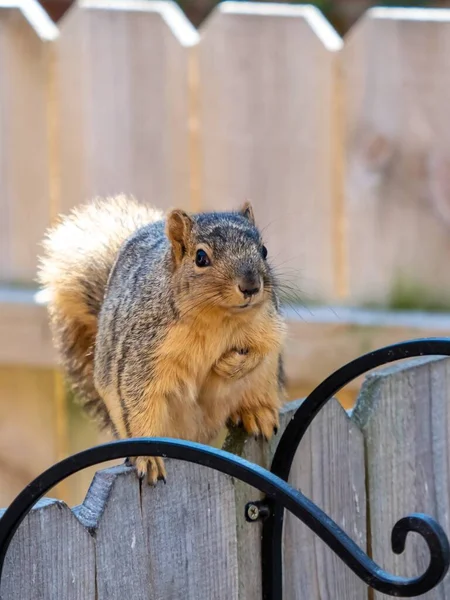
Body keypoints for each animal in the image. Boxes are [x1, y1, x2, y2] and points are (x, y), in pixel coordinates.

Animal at [37, 196, 284, 482]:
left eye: (263, 250)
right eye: (201, 257)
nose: (251, 286)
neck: (217, 319)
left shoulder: (267, 323)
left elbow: (262, 349)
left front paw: (229, 365)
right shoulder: (143, 352)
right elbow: (140, 397)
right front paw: (148, 457)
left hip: (264, 381)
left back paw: (254, 412)